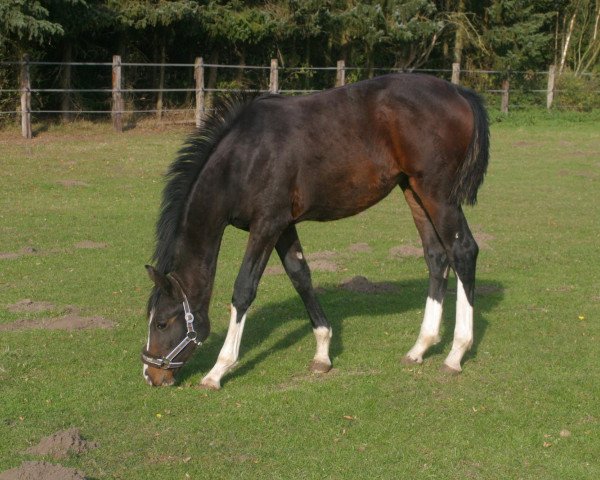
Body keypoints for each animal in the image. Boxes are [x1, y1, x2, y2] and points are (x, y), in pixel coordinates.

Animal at [143, 75, 490, 390]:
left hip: (438, 195)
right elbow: (301, 277)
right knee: (436, 257)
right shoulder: (283, 226)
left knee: (463, 251)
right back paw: (420, 347)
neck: (245, 157)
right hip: (413, 191)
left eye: (162, 322)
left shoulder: (266, 225)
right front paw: (323, 353)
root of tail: (458, 92)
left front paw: (218, 370)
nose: (151, 375)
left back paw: (456, 354)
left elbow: (244, 290)